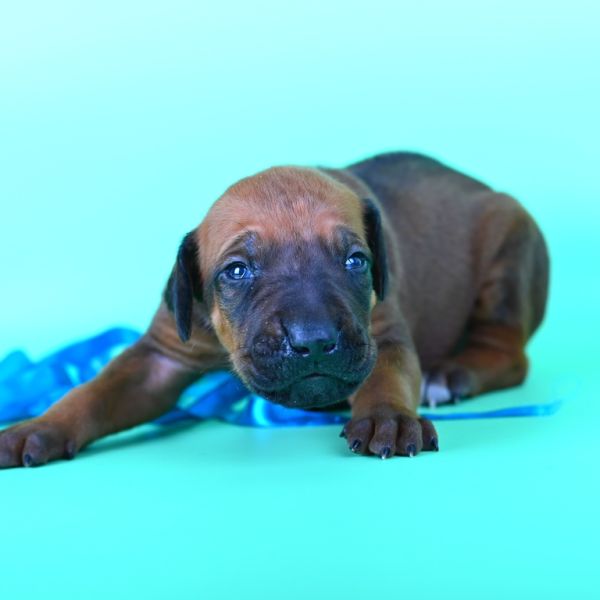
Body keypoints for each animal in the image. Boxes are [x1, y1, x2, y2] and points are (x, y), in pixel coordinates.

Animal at [0, 152, 549, 467]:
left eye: (355, 261)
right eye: (237, 271)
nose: (314, 342)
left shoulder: (383, 333)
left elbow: (388, 374)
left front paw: (388, 417)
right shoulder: (159, 356)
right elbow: (93, 393)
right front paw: (38, 427)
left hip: (511, 245)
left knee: (510, 354)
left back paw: (451, 375)